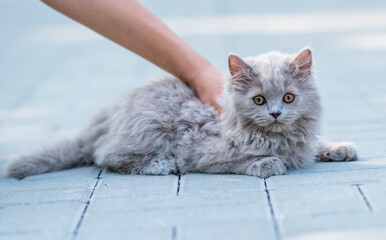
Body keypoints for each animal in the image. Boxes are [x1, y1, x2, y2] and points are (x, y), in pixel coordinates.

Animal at [4, 47, 358, 178]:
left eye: (288, 98)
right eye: (258, 100)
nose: (274, 114)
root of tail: (104, 119)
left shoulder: (302, 140)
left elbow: (313, 145)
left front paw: (338, 148)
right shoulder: (201, 147)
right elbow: (240, 159)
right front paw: (268, 163)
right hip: (149, 127)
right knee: (106, 156)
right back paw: (159, 164)